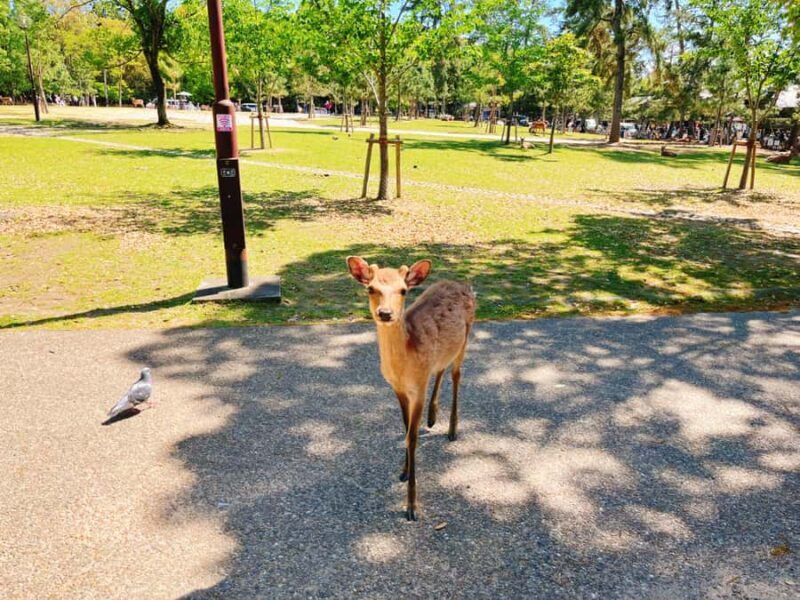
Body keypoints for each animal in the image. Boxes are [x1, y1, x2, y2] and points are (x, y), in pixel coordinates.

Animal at [346, 256, 476, 521]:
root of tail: (464, 283)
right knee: (440, 368)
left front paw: (411, 507)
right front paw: (403, 471)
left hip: (465, 338)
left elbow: (412, 438)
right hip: (443, 351)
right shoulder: (398, 388)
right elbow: (405, 430)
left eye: (403, 290)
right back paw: (432, 417)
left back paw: (452, 429)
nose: (385, 313)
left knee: (456, 375)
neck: (403, 368)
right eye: (370, 288)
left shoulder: (418, 390)